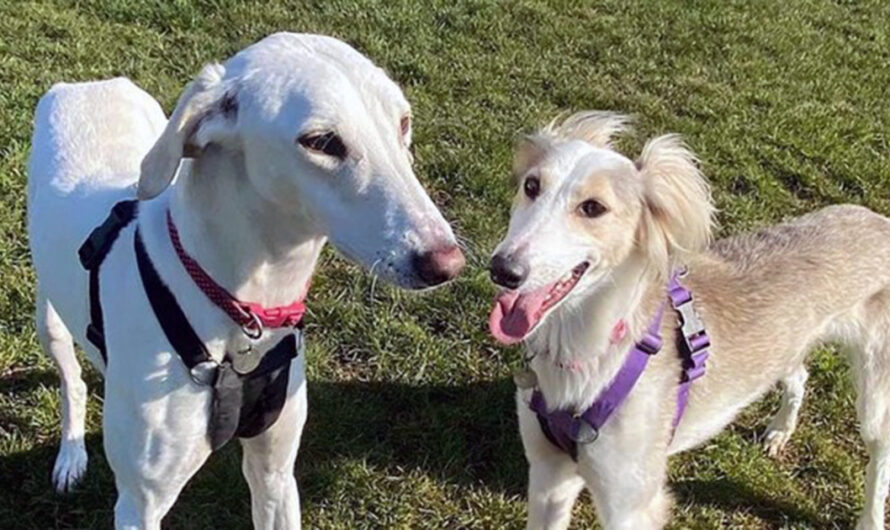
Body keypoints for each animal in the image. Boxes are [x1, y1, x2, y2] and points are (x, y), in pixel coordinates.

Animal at [486, 111, 888, 528]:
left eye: (593, 208)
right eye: (532, 186)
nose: (502, 270)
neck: (588, 350)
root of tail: (876, 218)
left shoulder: (630, 504)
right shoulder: (549, 476)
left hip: (875, 391)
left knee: (880, 454)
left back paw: (870, 517)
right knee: (799, 373)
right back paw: (780, 430)